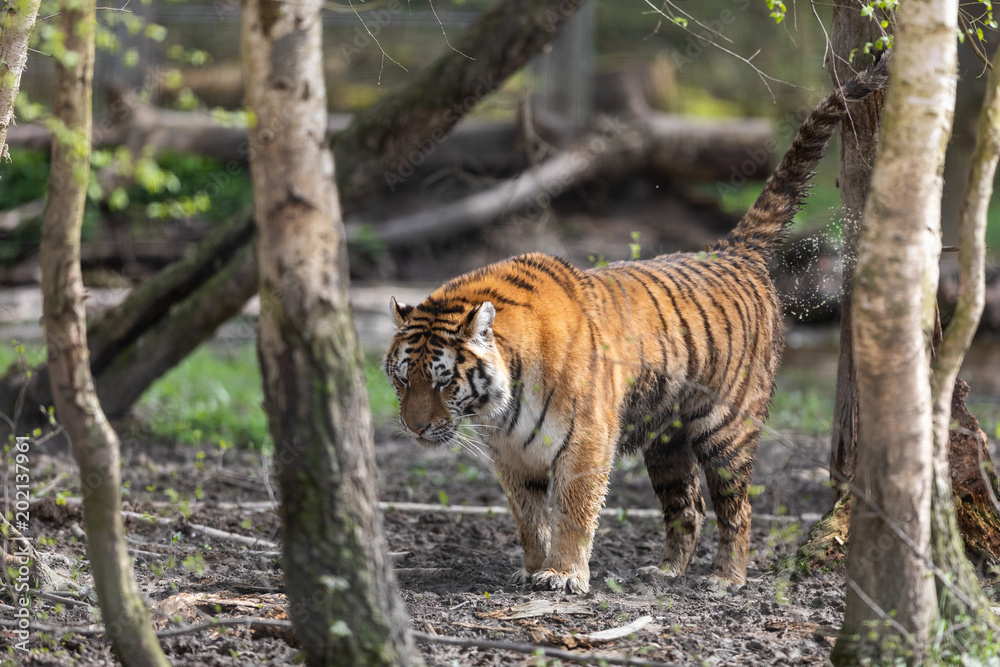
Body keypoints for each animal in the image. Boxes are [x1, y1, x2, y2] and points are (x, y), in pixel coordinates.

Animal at [383, 60, 888, 594]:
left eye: (443, 381)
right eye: (401, 380)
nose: (414, 428)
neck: (498, 404)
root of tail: (731, 251)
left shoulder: (585, 441)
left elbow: (572, 511)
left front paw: (563, 575)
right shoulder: (511, 456)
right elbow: (528, 518)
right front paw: (532, 568)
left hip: (727, 426)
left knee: (737, 506)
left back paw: (726, 578)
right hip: (666, 442)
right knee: (689, 505)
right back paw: (665, 570)